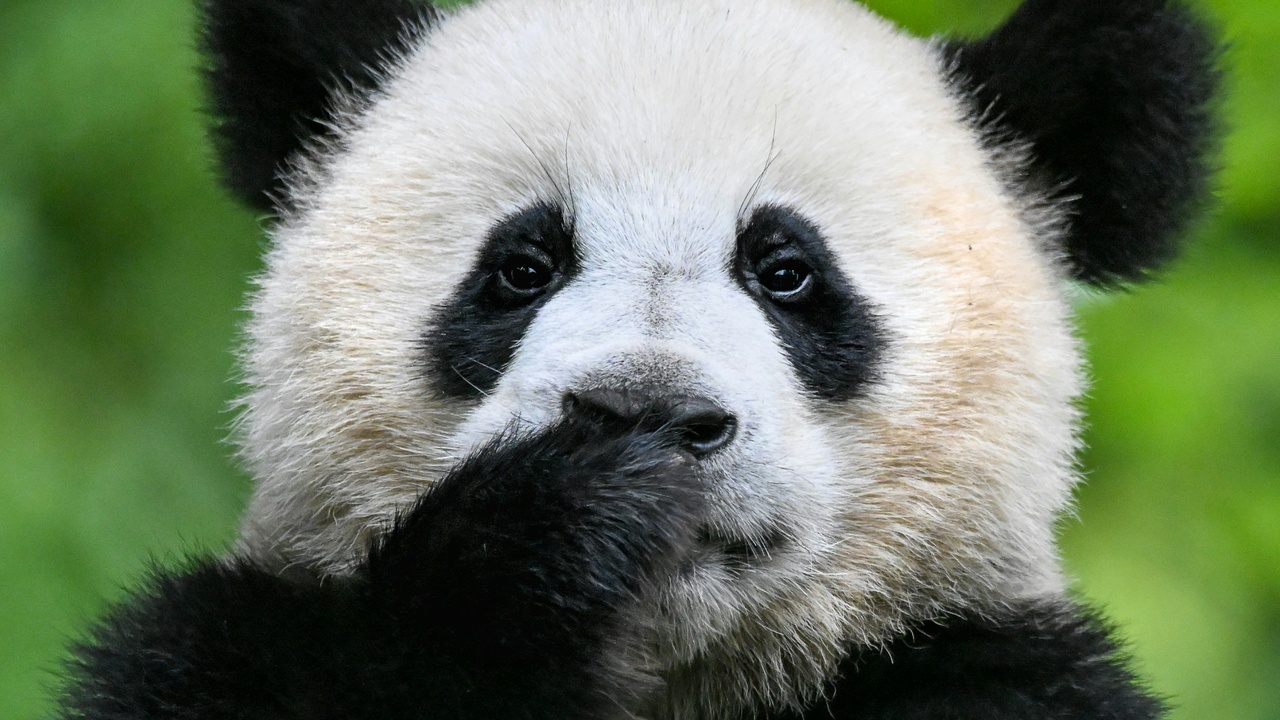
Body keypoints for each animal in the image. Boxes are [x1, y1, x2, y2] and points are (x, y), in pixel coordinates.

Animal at [58, 0, 1220, 718]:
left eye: (785, 271)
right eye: (522, 266)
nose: (647, 414)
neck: (668, 675)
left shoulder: (992, 670)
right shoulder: (234, 642)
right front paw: (543, 545)